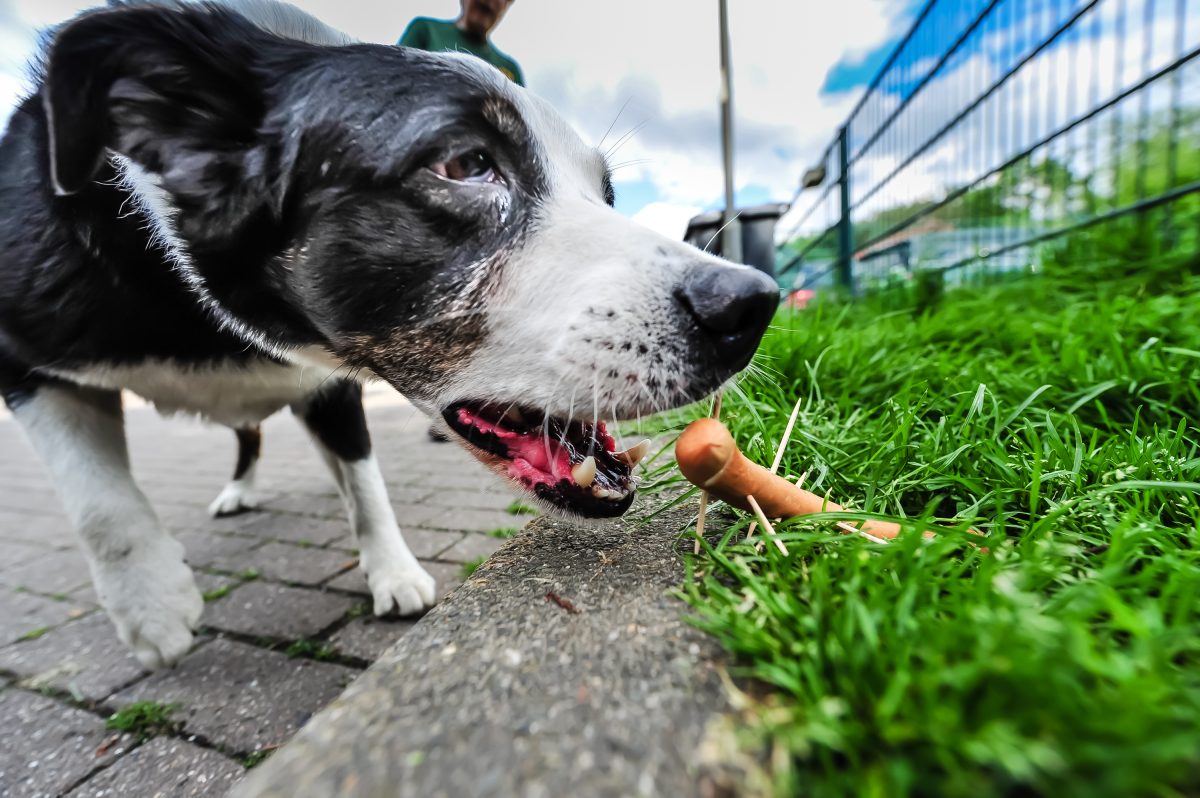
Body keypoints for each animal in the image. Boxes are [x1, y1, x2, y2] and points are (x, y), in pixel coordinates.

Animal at [0, 1, 777, 667]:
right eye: (466, 165)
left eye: (606, 194)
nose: (752, 307)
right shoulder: (23, 365)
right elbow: (101, 508)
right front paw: (153, 611)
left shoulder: (330, 384)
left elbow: (364, 478)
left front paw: (393, 572)